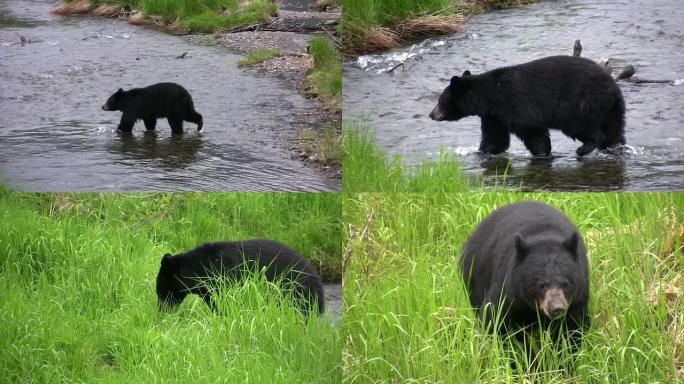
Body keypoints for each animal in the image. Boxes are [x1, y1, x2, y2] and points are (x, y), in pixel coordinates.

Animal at [430, 55, 628, 156]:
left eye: (439, 101)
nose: (431, 114)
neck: (489, 96)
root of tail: (613, 87)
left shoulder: (514, 105)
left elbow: (532, 132)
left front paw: (541, 153)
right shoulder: (494, 115)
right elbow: (495, 138)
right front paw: (483, 151)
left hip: (581, 104)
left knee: (584, 127)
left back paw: (584, 148)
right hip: (612, 109)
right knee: (615, 130)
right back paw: (615, 147)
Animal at [462, 201, 592, 352]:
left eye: (565, 283)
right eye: (542, 285)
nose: (557, 308)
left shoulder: (577, 298)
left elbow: (573, 331)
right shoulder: (509, 291)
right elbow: (494, 320)